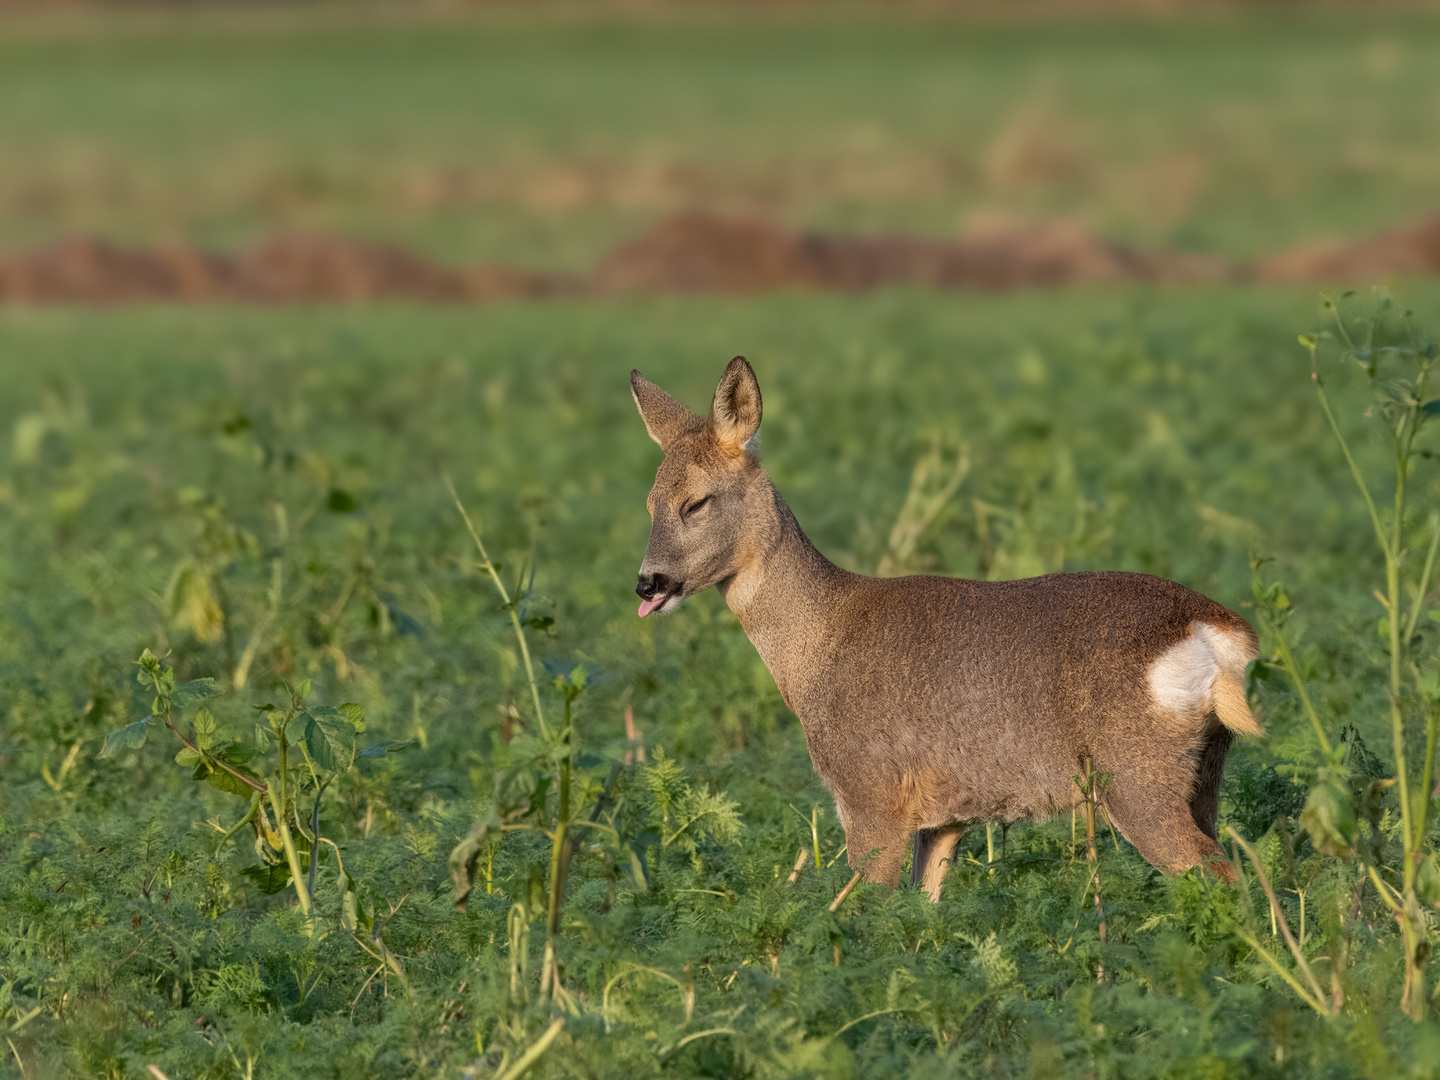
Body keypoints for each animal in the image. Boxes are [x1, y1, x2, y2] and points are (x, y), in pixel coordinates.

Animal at [630, 360, 1261, 898]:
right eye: (649, 503)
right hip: (1204, 769)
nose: (648, 583)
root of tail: (1211, 626)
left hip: (1135, 776)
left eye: (696, 502)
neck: (818, 644)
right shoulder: (944, 816)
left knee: (1223, 877)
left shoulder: (870, 793)